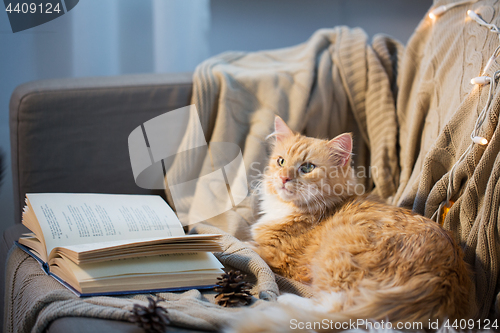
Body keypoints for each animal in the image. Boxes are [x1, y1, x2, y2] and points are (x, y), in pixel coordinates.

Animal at [236, 115, 474, 330]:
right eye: (281, 161)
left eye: (307, 168)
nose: (283, 178)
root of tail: (441, 280)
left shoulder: (278, 256)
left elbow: (245, 245)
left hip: (337, 253)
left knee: (334, 307)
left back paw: (285, 299)